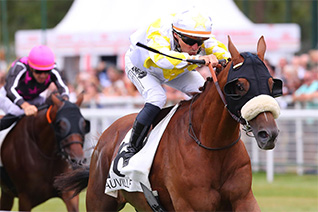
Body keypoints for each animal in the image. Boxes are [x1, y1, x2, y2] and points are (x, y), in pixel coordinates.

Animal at [56, 36, 282, 212]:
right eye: (240, 86)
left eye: (272, 83)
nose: (268, 133)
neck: (212, 146)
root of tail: (107, 134)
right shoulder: (191, 205)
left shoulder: (244, 199)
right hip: (100, 200)